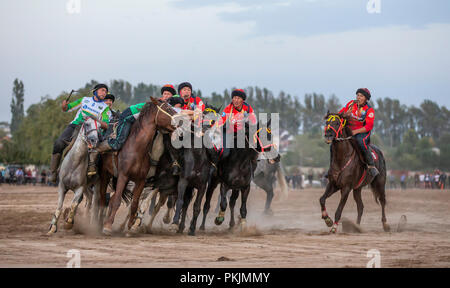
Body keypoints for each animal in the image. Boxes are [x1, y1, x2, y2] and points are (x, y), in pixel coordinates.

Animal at [102, 98, 178, 235]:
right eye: (168, 109)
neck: (137, 149)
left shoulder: (143, 180)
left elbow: (135, 203)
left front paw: (131, 225)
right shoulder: (124, 176)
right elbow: (118, 201)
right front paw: (108, 226)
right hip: (106, 174)